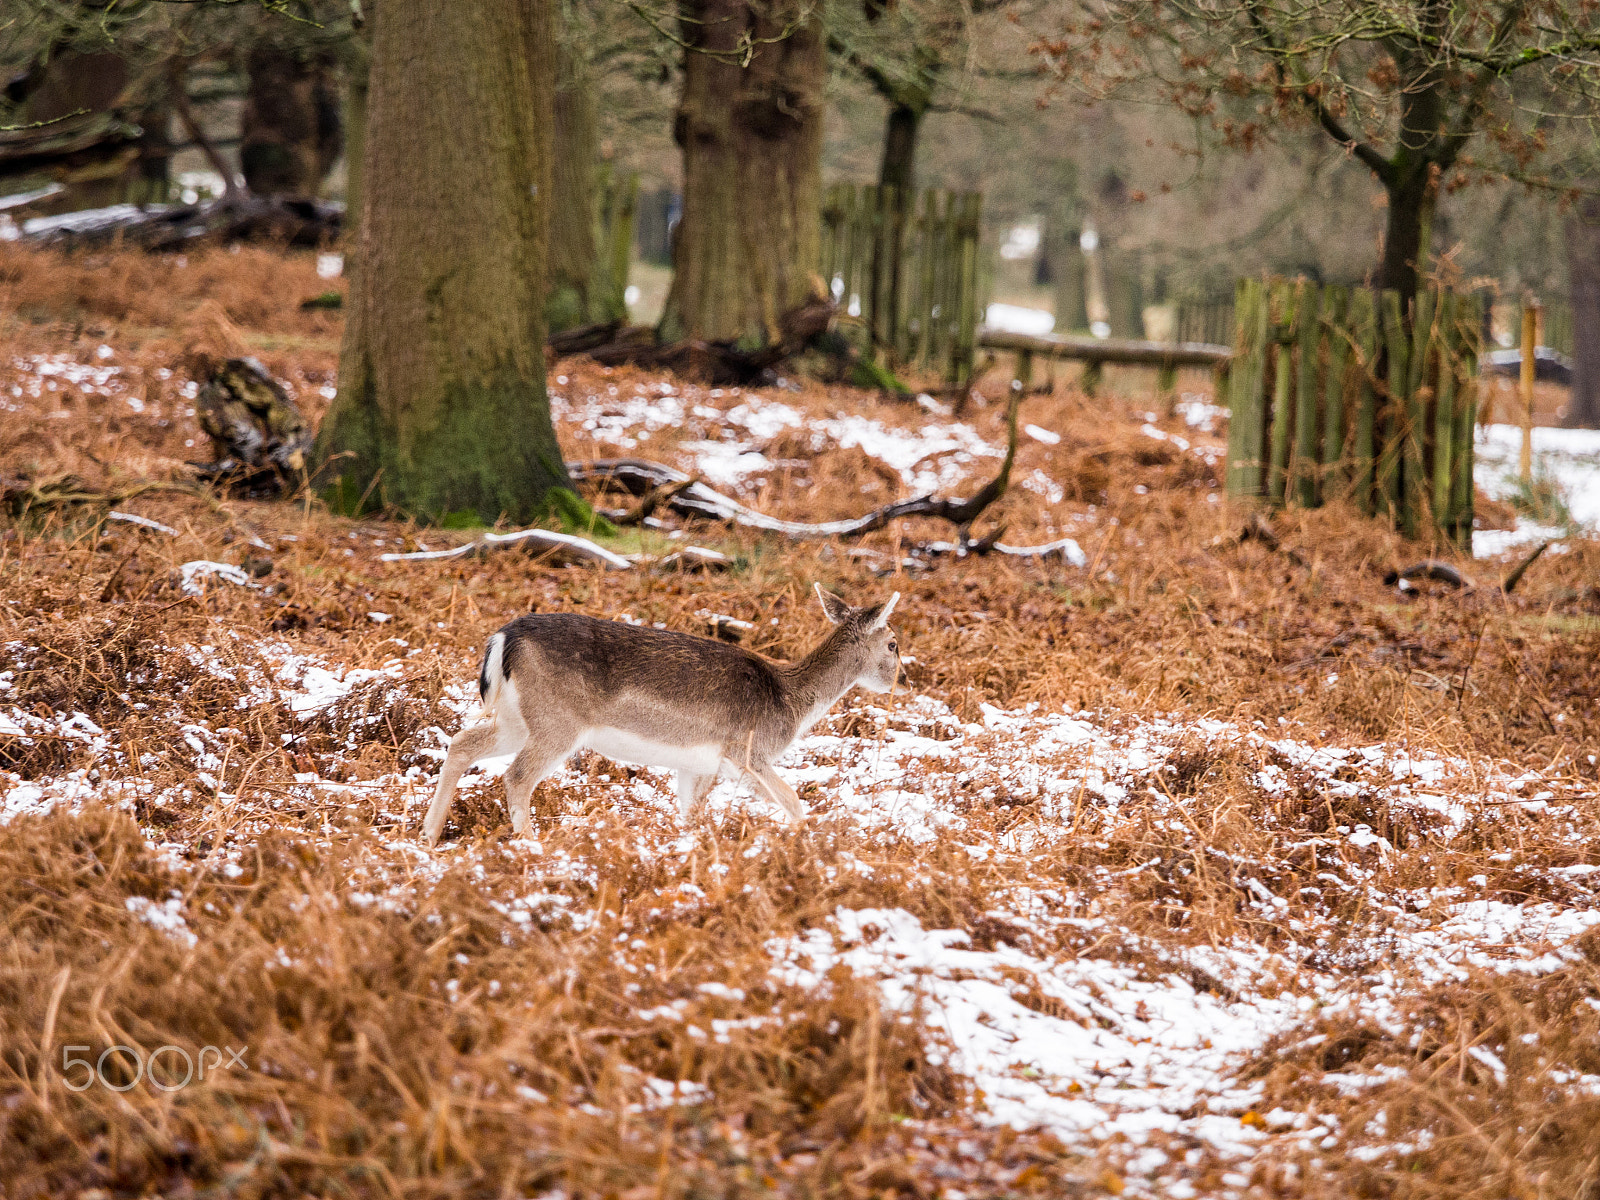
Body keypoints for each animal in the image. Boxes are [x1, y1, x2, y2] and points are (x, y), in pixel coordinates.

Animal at [422, 585, 902, 844]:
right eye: (894, 643)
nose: (900, 679)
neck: (790, 702)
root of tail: (505, 637)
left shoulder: (699, 766)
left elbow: (690, 816)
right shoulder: (748, 752)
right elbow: (794, 802)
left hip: (517, 719)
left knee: (462, 742)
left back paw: (428, 833)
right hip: (557, 721)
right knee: (517, 776)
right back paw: (529, 845)